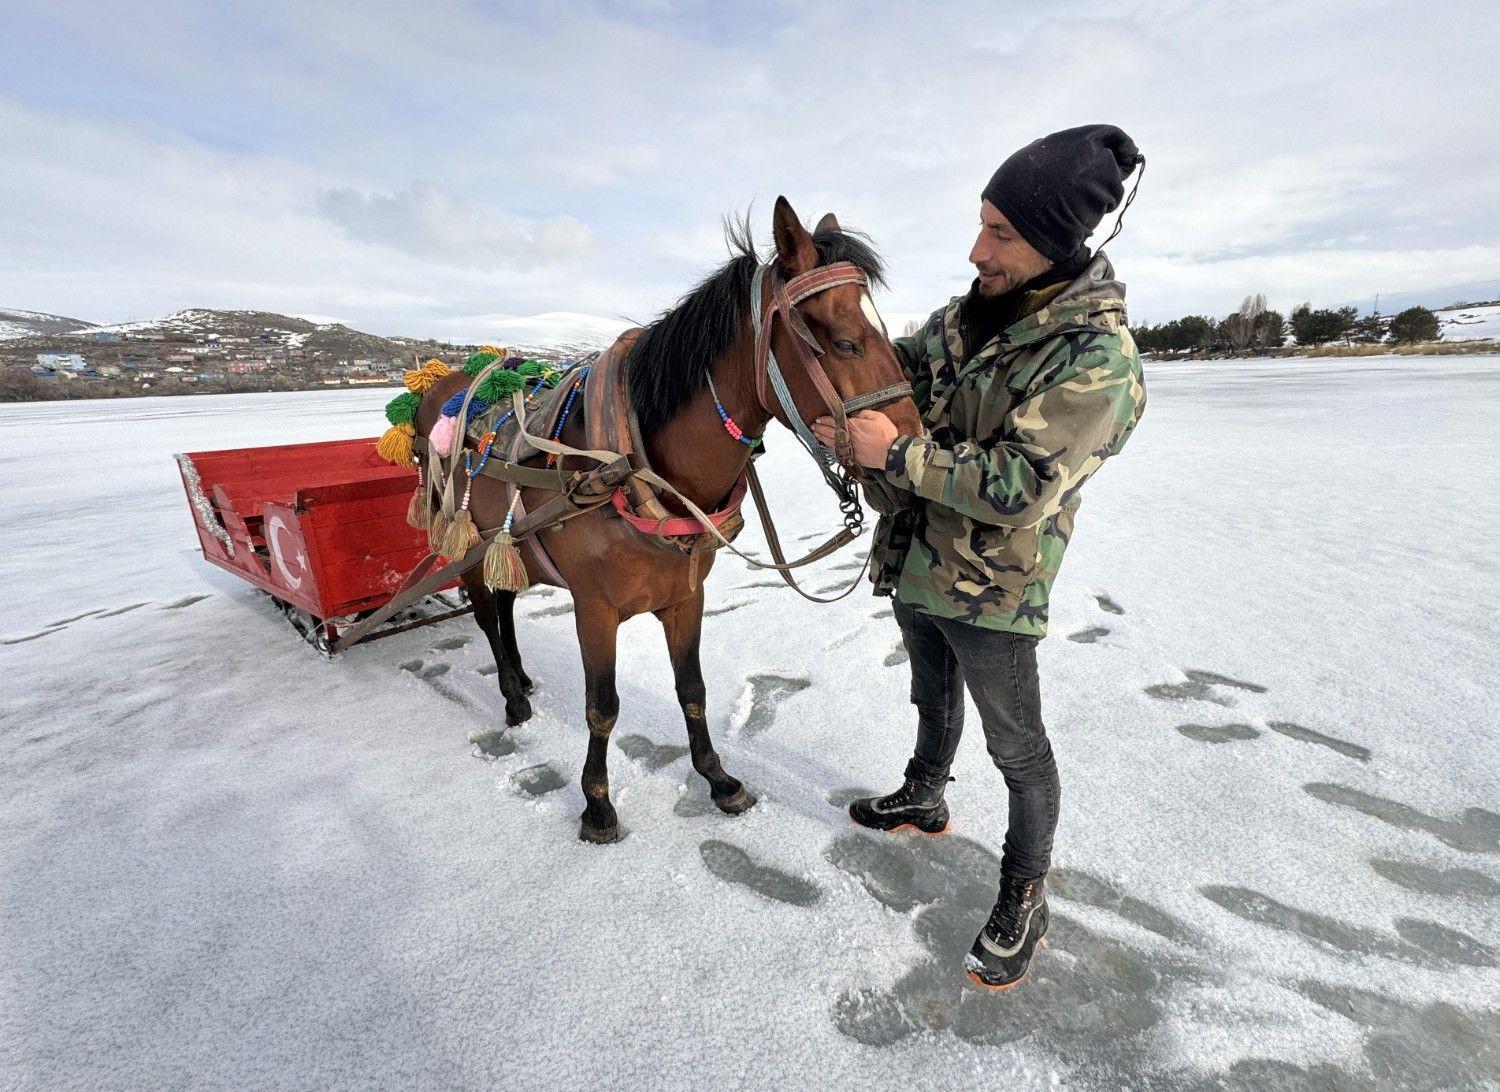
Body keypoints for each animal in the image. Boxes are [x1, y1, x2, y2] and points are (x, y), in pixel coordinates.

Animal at [413, 197, 922, 843]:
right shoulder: (594, 608)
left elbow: (693, 690)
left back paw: (522, 682)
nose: (906, 458)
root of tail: (444, 387)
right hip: (465, 546)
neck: (635, 464)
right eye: (844, 341)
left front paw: (718, 779)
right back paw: (511, 698)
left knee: (503, 605)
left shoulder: (685, 597)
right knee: (485, 613)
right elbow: (602, 706)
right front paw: (598, 804)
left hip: (507, 543)